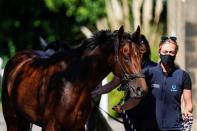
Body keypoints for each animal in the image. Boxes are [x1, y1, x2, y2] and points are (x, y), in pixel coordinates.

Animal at [1, 26, 146, 130]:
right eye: (126, 56)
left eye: (140, 55)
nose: (141, 89)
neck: (72, 83)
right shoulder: (50, 126)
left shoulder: (78, 127)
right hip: (12, 120)